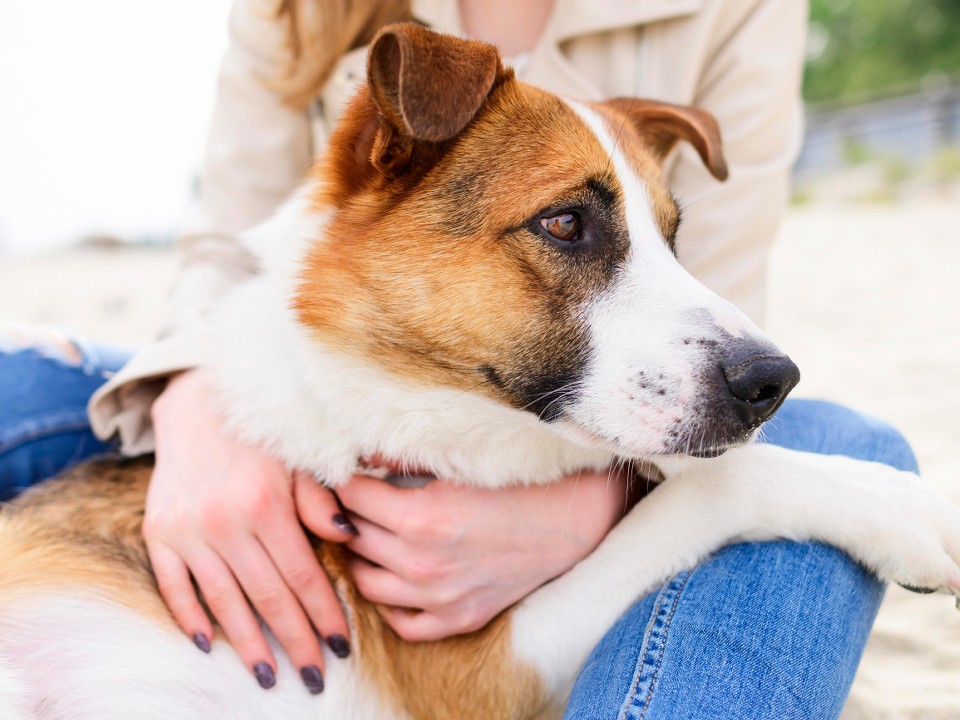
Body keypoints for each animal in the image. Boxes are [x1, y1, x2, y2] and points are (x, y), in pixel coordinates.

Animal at [1, 23, 960, 720]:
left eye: (674, 236)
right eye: (565, 223)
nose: (774, 381)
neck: (368, 390)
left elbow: (690, 480)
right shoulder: (479, 676)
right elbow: (714, 488)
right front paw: (913, 510)